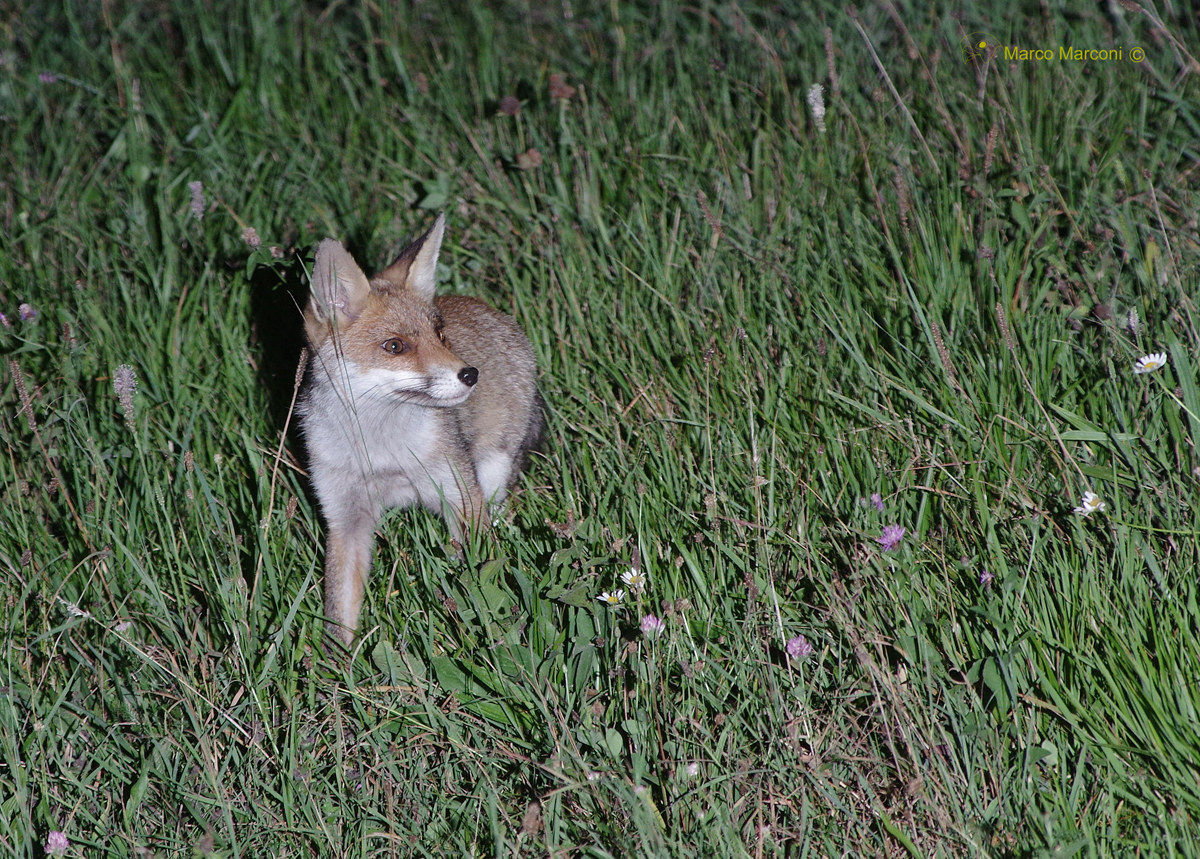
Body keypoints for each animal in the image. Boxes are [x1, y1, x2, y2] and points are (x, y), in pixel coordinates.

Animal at [298, 214, 543, 647]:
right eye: (395, 346)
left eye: (439, 335)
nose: (470, 374)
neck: (380, 454)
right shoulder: (344, 517)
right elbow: (339, 613)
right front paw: (339, 664)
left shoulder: (461, 497)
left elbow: (480, 577)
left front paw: (491, 636)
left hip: (491, 474)